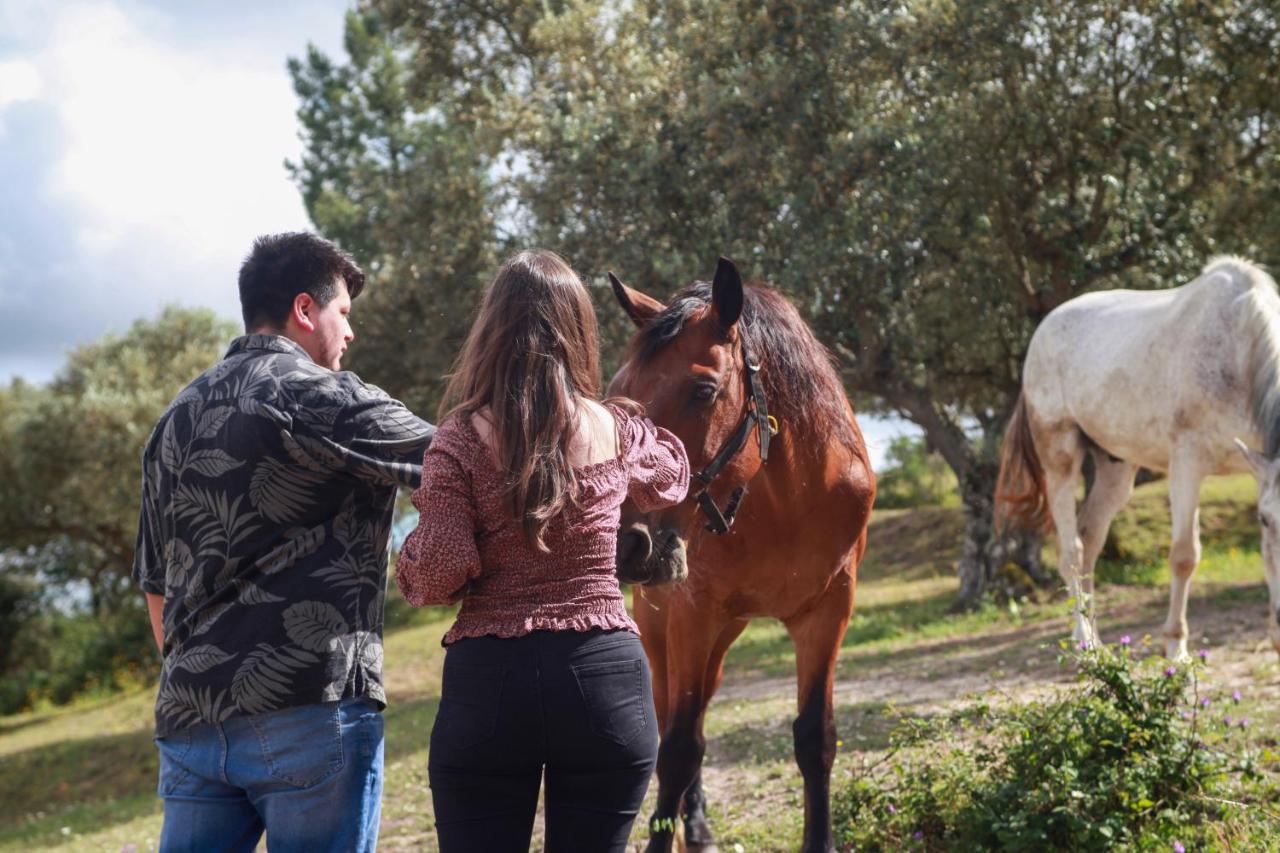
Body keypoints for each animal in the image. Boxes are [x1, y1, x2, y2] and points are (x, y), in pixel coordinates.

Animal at [606, 257, 870, 850]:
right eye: (618, 392)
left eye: (704, 390)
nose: (626, 544)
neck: (787, 497)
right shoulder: (692, 615)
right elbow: (678, 750)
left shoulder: (828, 612)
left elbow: (815, 739)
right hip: (665, 632)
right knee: (675, 721)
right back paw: (694, 824)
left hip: (724, 636)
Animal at [993, 256, 1280, 660]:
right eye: (1266, 519)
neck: (1239, 347)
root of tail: (1042, 332)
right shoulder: (1187, 464)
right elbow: (1184, 555)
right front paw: (1175, 646)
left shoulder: (1259, 465)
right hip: (1059, 458)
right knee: (1071, 550)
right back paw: (1084, 641)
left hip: (1116, 470)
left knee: (1089, 540)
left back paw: (1097, 640)